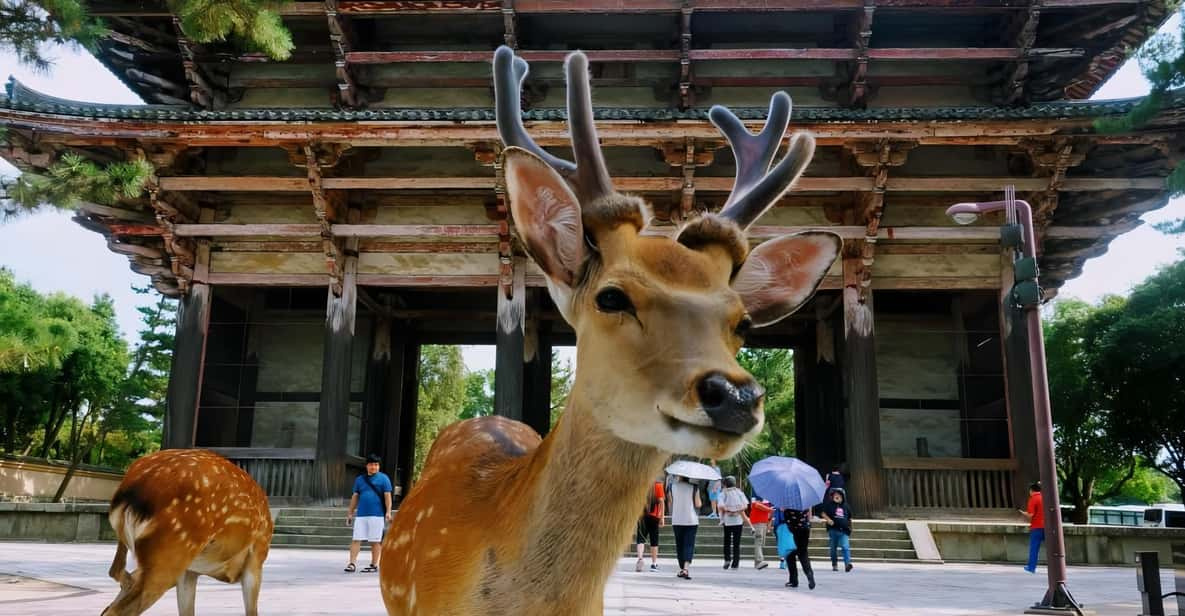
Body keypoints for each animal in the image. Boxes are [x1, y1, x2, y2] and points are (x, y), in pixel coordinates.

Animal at [101, 447, 272, 616]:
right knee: (117, 608)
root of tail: (132, 489)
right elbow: (252, 610)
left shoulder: (189, 571)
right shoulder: (257, 556)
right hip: (173, 549)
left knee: (116, 577)